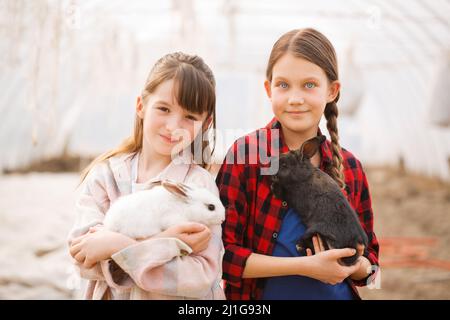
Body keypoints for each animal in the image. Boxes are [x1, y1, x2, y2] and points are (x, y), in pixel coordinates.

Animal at [270, 135, 370, 264]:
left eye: (284, 165)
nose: (270, 169)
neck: (304, 175)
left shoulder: (291, 194)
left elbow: (281, 192)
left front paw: (274, 186)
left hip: (317, 232)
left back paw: (299, 245)